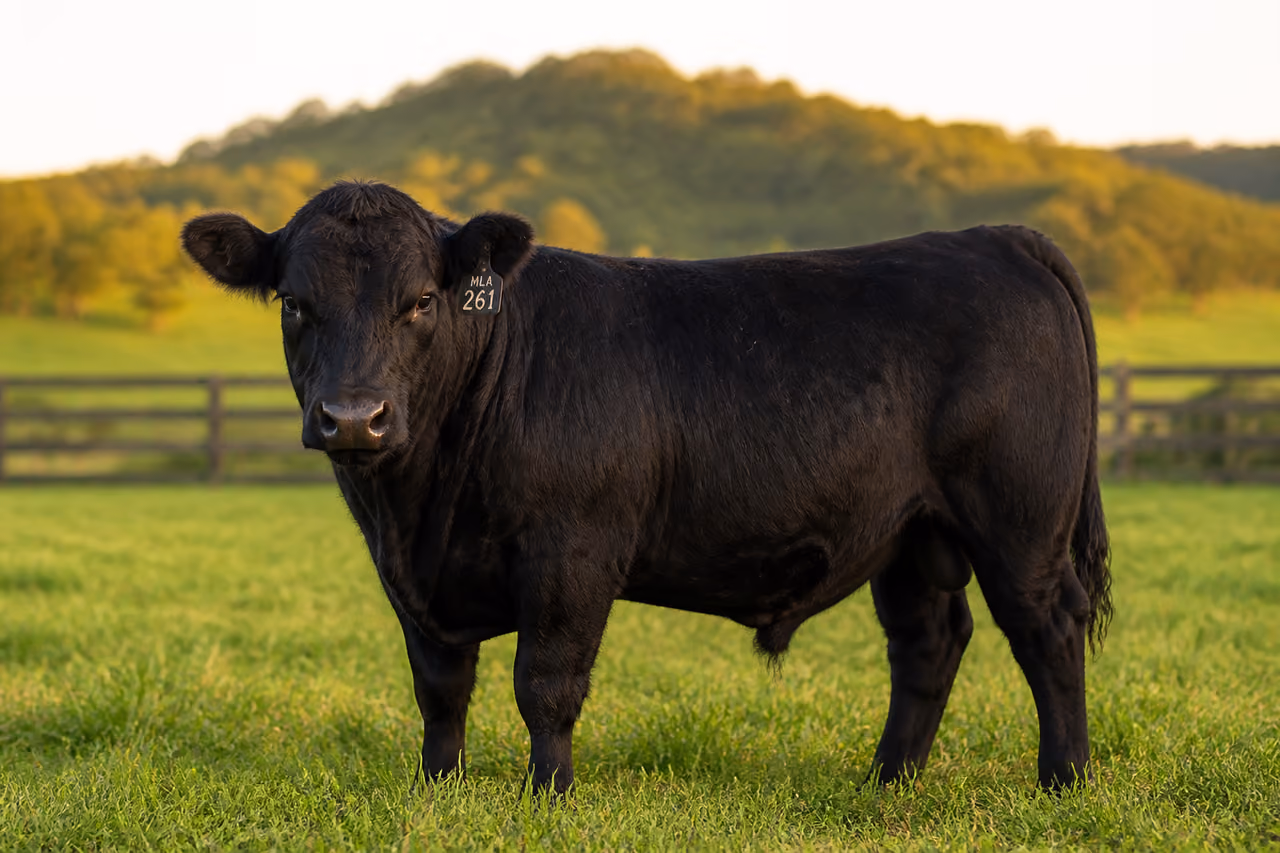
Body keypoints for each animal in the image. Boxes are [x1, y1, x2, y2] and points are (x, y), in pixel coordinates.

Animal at [182, 181, 1111, 795]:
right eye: (293, 302)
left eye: (419, 301)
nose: (353, 418)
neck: (420, 508)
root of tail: (993, 237)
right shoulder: (412, 579)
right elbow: (440, 687)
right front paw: (438, 790)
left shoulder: (573, 552)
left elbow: (546, 682)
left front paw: (547, 796)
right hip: (912, 534)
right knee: (928, 642)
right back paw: (887, 780)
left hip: (1020, 521)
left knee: (1047, 628)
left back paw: (1063, 779)